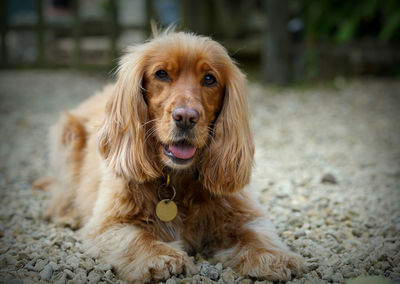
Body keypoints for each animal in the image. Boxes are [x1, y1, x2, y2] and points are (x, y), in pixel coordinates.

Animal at [36, 30, 304, 282]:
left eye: (209, 79)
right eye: (162, 74)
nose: (185, 117)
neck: (177, 178)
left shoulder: (242, 214)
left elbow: (254, 234)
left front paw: (273, 256)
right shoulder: (109, 224)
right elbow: (137, 238)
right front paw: (160, 257)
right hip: (66, 137)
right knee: (61, 193)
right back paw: (68, 214)